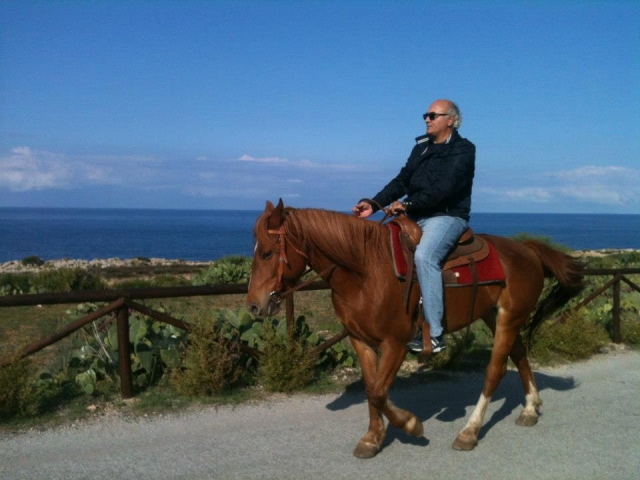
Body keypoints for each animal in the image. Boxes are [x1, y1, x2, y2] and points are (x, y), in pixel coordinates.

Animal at [246, 199, 584, 458]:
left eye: (266, 252)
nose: (253, 306)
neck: (365, 271)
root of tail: (526, 249)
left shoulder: (395, 342)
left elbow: (379, 392)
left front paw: (410, 425)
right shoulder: (360, 340)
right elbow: (371, 388)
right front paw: (373, 438)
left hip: (508, 319)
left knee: (495, 370)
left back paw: (470, 431)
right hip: (496, 316)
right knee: (520, 354)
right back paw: (529, 409)